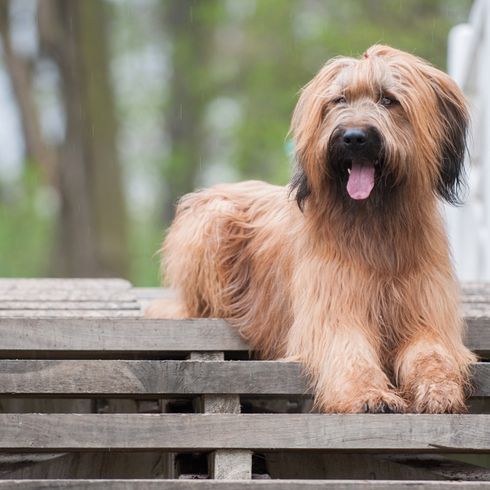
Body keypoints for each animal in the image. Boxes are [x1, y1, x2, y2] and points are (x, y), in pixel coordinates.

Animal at [147, 45, 476, 414]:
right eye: (338, 100)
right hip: (211, 226)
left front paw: (439, 390)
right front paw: (369, 394)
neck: (375, 223)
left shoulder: (426, 312)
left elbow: (432, 352)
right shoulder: (332, 306)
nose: (354, 138)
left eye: (388, 100)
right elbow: (348, 349)